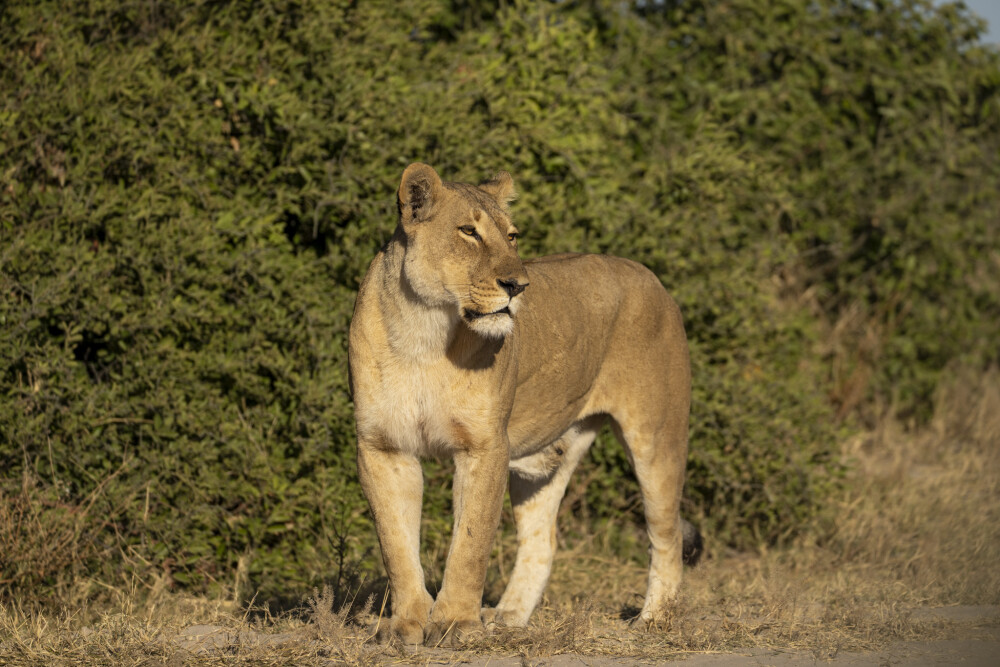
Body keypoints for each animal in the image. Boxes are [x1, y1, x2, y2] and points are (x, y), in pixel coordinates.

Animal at [348, 163, 701, 646]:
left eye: (511, 237)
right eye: (468, 232)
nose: (518, 285)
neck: (425, 331)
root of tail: (652, 277)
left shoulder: (484, 446)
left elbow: (470, 543)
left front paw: (457, 624)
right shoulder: (383, 446)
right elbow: (396, 544)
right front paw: (407, 625)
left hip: (657, 437)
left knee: (665, 533)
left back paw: (653, 621)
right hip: (542, 463)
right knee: (542, 541)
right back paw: (508, 618)